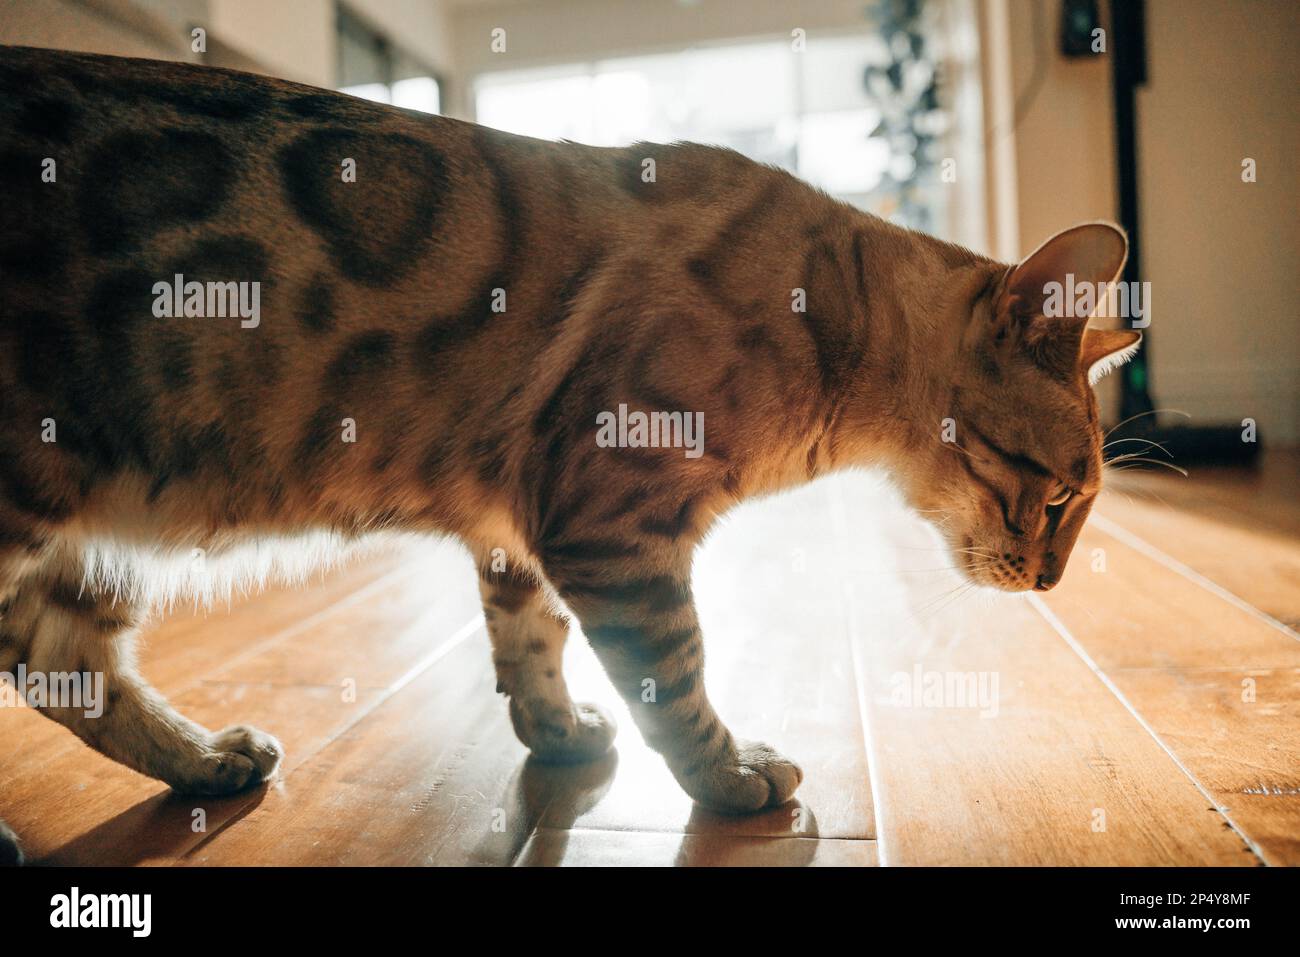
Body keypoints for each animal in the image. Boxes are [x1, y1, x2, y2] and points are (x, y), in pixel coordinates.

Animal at [0, 46, 1138, 868]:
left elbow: (528, 636)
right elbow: (674, 672)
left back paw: (207, 762)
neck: (831, 325)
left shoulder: (523, 522)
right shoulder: (612, 521)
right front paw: (728, 775)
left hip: (81, 546)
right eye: (1060, 498)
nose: (1052, 581)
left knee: (64, 666)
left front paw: (557, 730)